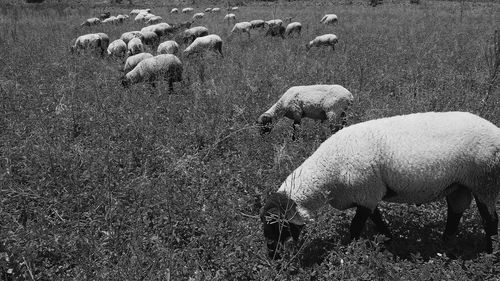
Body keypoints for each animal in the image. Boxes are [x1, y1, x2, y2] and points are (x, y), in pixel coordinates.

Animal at [260, 110, 500, 258]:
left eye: (278, 225)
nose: (273, 256)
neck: (328, 171)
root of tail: (495, 130)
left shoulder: (366, 193)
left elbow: (356, 227)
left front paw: (350, 253)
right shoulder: (369, 194)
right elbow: (378, 221)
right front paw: (389, 240)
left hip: (484, 181)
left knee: (490, 221)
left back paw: (490, 253)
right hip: (460, 185)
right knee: (456, 213)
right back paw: (445, 245)